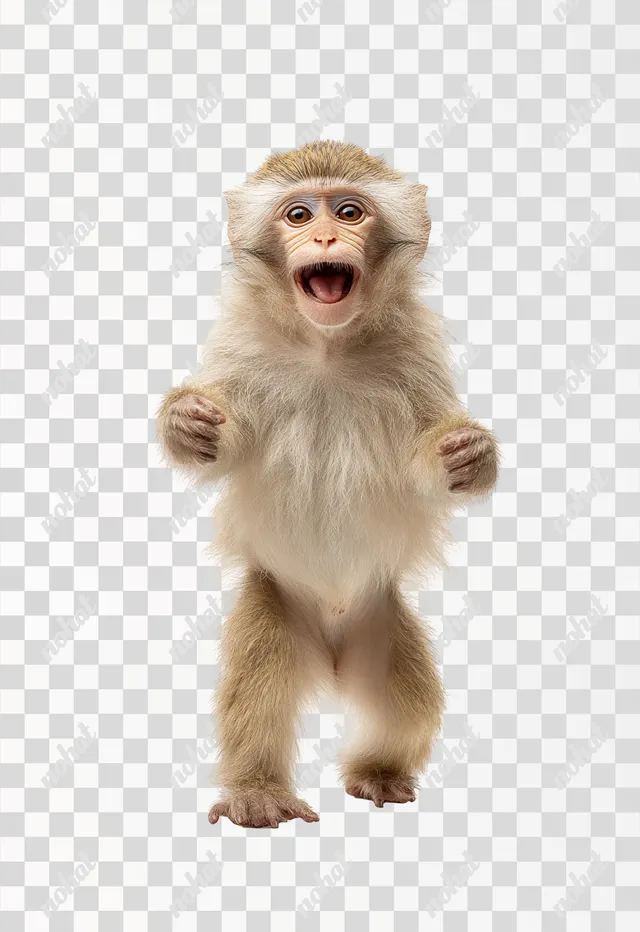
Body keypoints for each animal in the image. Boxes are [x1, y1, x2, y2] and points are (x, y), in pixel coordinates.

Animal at [156, 141, 499, 828]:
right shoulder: (241, 352)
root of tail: (333, 657)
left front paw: (469, 459)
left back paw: (379, 769)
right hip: (275, 604)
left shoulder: (417, 356)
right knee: (259, 687)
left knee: (405, 702)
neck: (327, 346)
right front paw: (185, 424)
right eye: (297, 214)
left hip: (381, 622)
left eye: (348, 211)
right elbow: (221, 449)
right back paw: (257, 789)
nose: (323, 235)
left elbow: (426, 464)